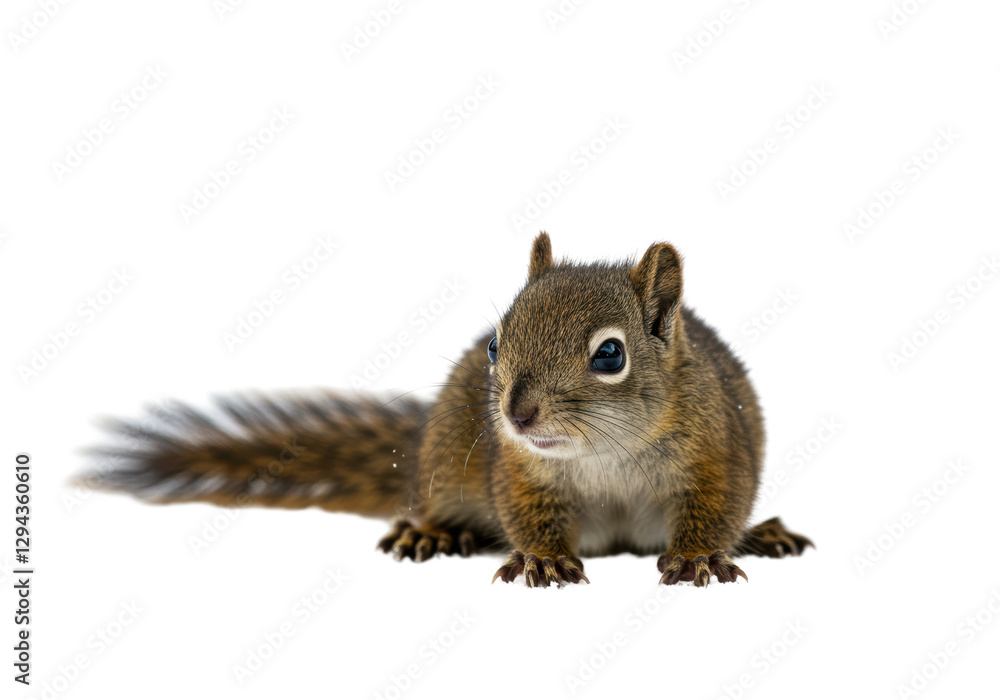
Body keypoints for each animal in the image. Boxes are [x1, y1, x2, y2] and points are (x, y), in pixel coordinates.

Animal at [82, 233, 812, 587]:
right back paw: (430, 532)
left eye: (610, 355)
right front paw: (544, 560)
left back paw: (764, 533)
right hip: (443, 464)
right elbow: (526, 514)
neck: (605, 454)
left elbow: (717, 508)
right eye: (494, 343)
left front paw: (698, 558)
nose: (516, 417)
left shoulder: (716, 454)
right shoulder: (518, 471)